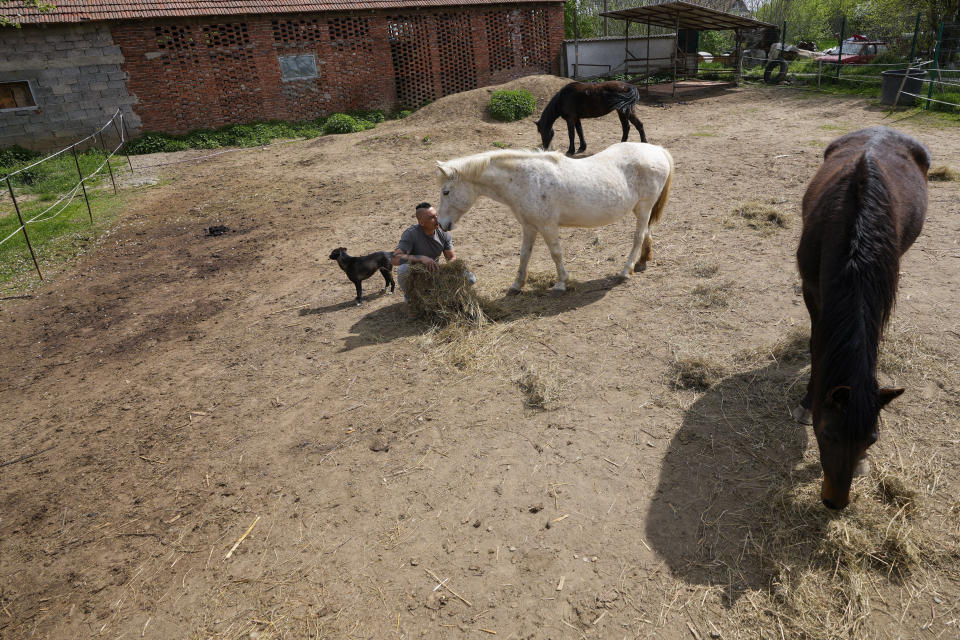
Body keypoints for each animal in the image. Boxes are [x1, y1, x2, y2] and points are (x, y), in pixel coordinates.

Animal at [436, 142, 672, 292]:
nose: (441, 224)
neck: (525, 180)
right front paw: (517, 285)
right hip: (642, 209)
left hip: (643, 208)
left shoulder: (547, 226)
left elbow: (556, 253)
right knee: (647, 232)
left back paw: (626, 270)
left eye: (446, 191)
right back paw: (642, 261)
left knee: (638, 236)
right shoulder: (529, 226)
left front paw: (561, 284)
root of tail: (658, 151)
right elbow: (524, 255)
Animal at [796, 126, 928, 510]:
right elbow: (817, 346)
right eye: (826, 434)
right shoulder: (811, 290)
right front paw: (807, 401)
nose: (835, 502)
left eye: (872, 439)